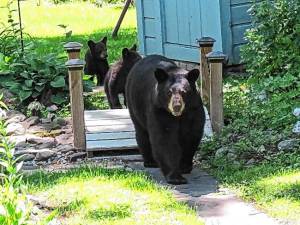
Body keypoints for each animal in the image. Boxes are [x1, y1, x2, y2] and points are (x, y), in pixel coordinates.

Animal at [125, 55, 205, 185]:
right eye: (169, 92)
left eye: (184, 92)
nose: (176, 106)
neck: (178, 116)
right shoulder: (159, 109)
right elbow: (164, 138)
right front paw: (176, 177)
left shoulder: (193, 109)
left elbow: (191, 135)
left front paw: (184, 166)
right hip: (134, 103)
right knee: (142, 132)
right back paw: (150, 161)